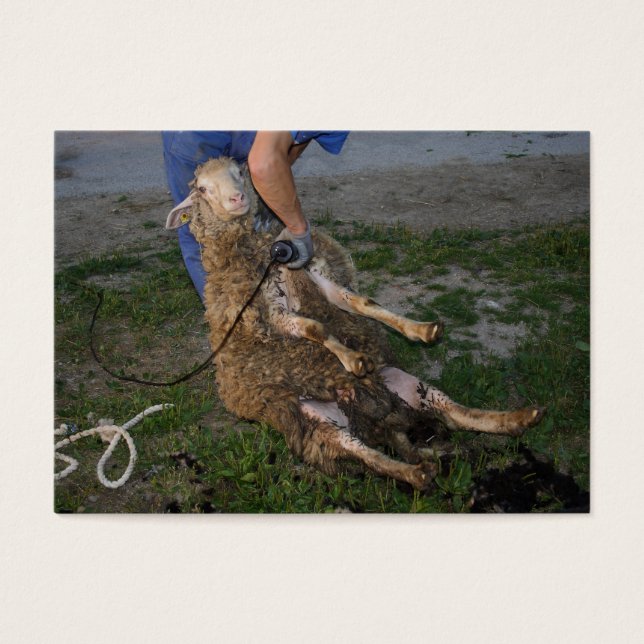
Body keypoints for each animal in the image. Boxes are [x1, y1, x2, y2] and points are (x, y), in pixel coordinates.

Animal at [166, 157, 545, 490]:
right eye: (202, 188)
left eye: (240, 172)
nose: (238, 198)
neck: (264, 255)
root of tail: (380, 421)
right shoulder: (269, 313)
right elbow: (314, 328)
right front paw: (353, 359)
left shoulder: (317, 277)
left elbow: (362, 304)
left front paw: (420, 330)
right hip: (317, 425)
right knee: (366, 455)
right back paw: (415, 472)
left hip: (406, 385)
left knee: (454, 412)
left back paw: (518, 418)